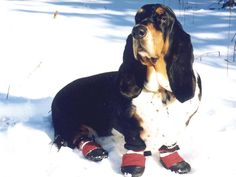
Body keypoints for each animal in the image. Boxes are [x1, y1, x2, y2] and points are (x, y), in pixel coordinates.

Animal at [51, 3, 201, 176]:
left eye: (163, 18)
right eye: (137, 17)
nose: (137, 31)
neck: (159, 91)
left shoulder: (178, 125)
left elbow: (169, 142)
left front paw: (177, 163)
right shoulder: (126, 121)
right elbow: (135, 142)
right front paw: (132, 167)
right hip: (68, 120)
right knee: (78, 137)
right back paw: (95, 151)